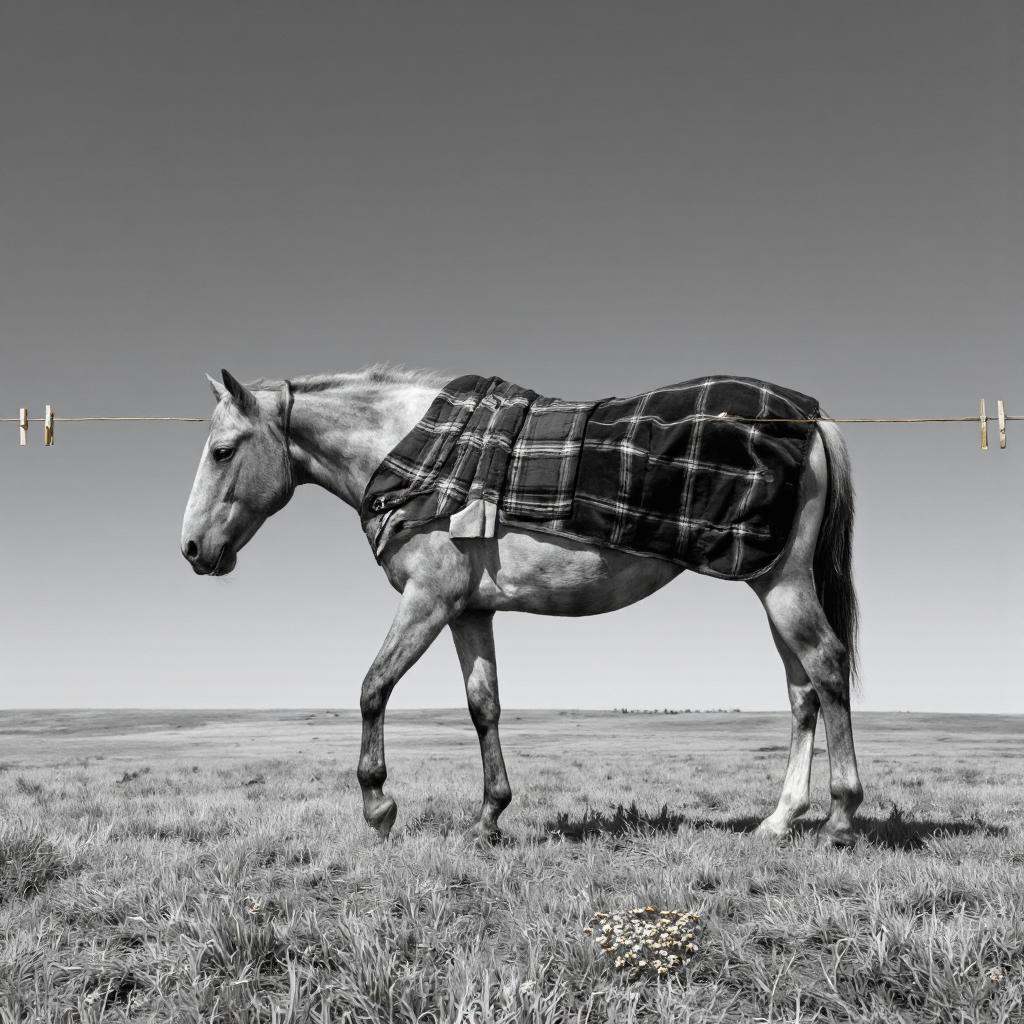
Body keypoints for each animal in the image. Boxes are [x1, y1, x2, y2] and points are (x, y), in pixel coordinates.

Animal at [181, 366, 863, 846]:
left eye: (223, 451)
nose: (191, 549)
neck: (416, 454)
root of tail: (808, 416)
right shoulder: (467, 612)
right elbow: (484, 706)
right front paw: (489, 816)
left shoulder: (428, 601)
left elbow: (373, 688)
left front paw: (378, 806)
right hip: (767, 584)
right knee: (802, 692)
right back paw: (781, 819)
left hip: (783, 584)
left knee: (827, 668)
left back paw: (841, 816)